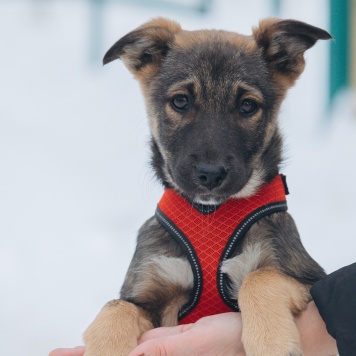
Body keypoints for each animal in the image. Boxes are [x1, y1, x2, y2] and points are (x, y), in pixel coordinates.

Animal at [82, 18, 330, 354]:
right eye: (180, 101)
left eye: (247, 106)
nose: (210, 174)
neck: (209, 215)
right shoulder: (147, 290)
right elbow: (114, 307)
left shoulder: (307, 275)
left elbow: (260, 278)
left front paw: (272, 342)